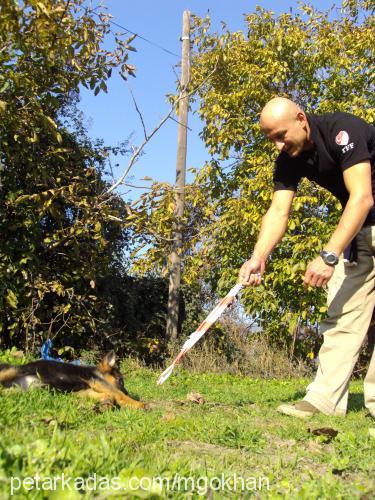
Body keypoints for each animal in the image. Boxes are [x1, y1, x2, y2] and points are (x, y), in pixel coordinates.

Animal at [0, 350, 145, 408]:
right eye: (121, 381)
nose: (128, 392)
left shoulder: (81, 390)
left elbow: (102, 395)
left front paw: (107, 400)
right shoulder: (97, 381)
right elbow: (118, 393)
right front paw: (139, 404)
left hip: (20, 390)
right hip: (11, 370)